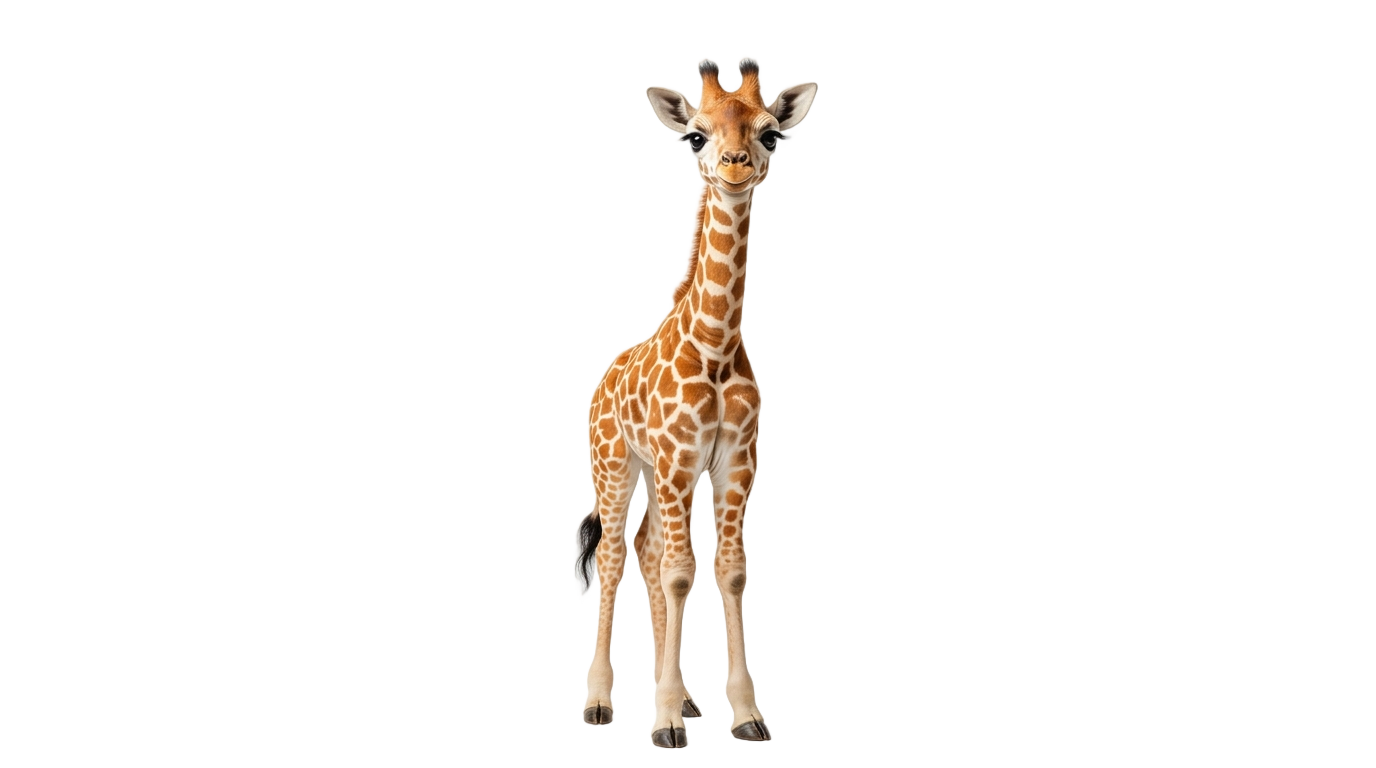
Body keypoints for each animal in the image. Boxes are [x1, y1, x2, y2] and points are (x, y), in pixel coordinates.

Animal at [574, 60, 816, 753]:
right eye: (695, 136)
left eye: (769, 133)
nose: (734, 166)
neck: (715, 344)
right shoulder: (679, 459)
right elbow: (681, 574)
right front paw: (661, 724)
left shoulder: (735, 463)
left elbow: (727, 573)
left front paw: (743, 714)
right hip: (617, 469)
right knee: (615, 556)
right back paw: (600, 704)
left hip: (652, 479)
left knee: (649, 552)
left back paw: (680, 695)